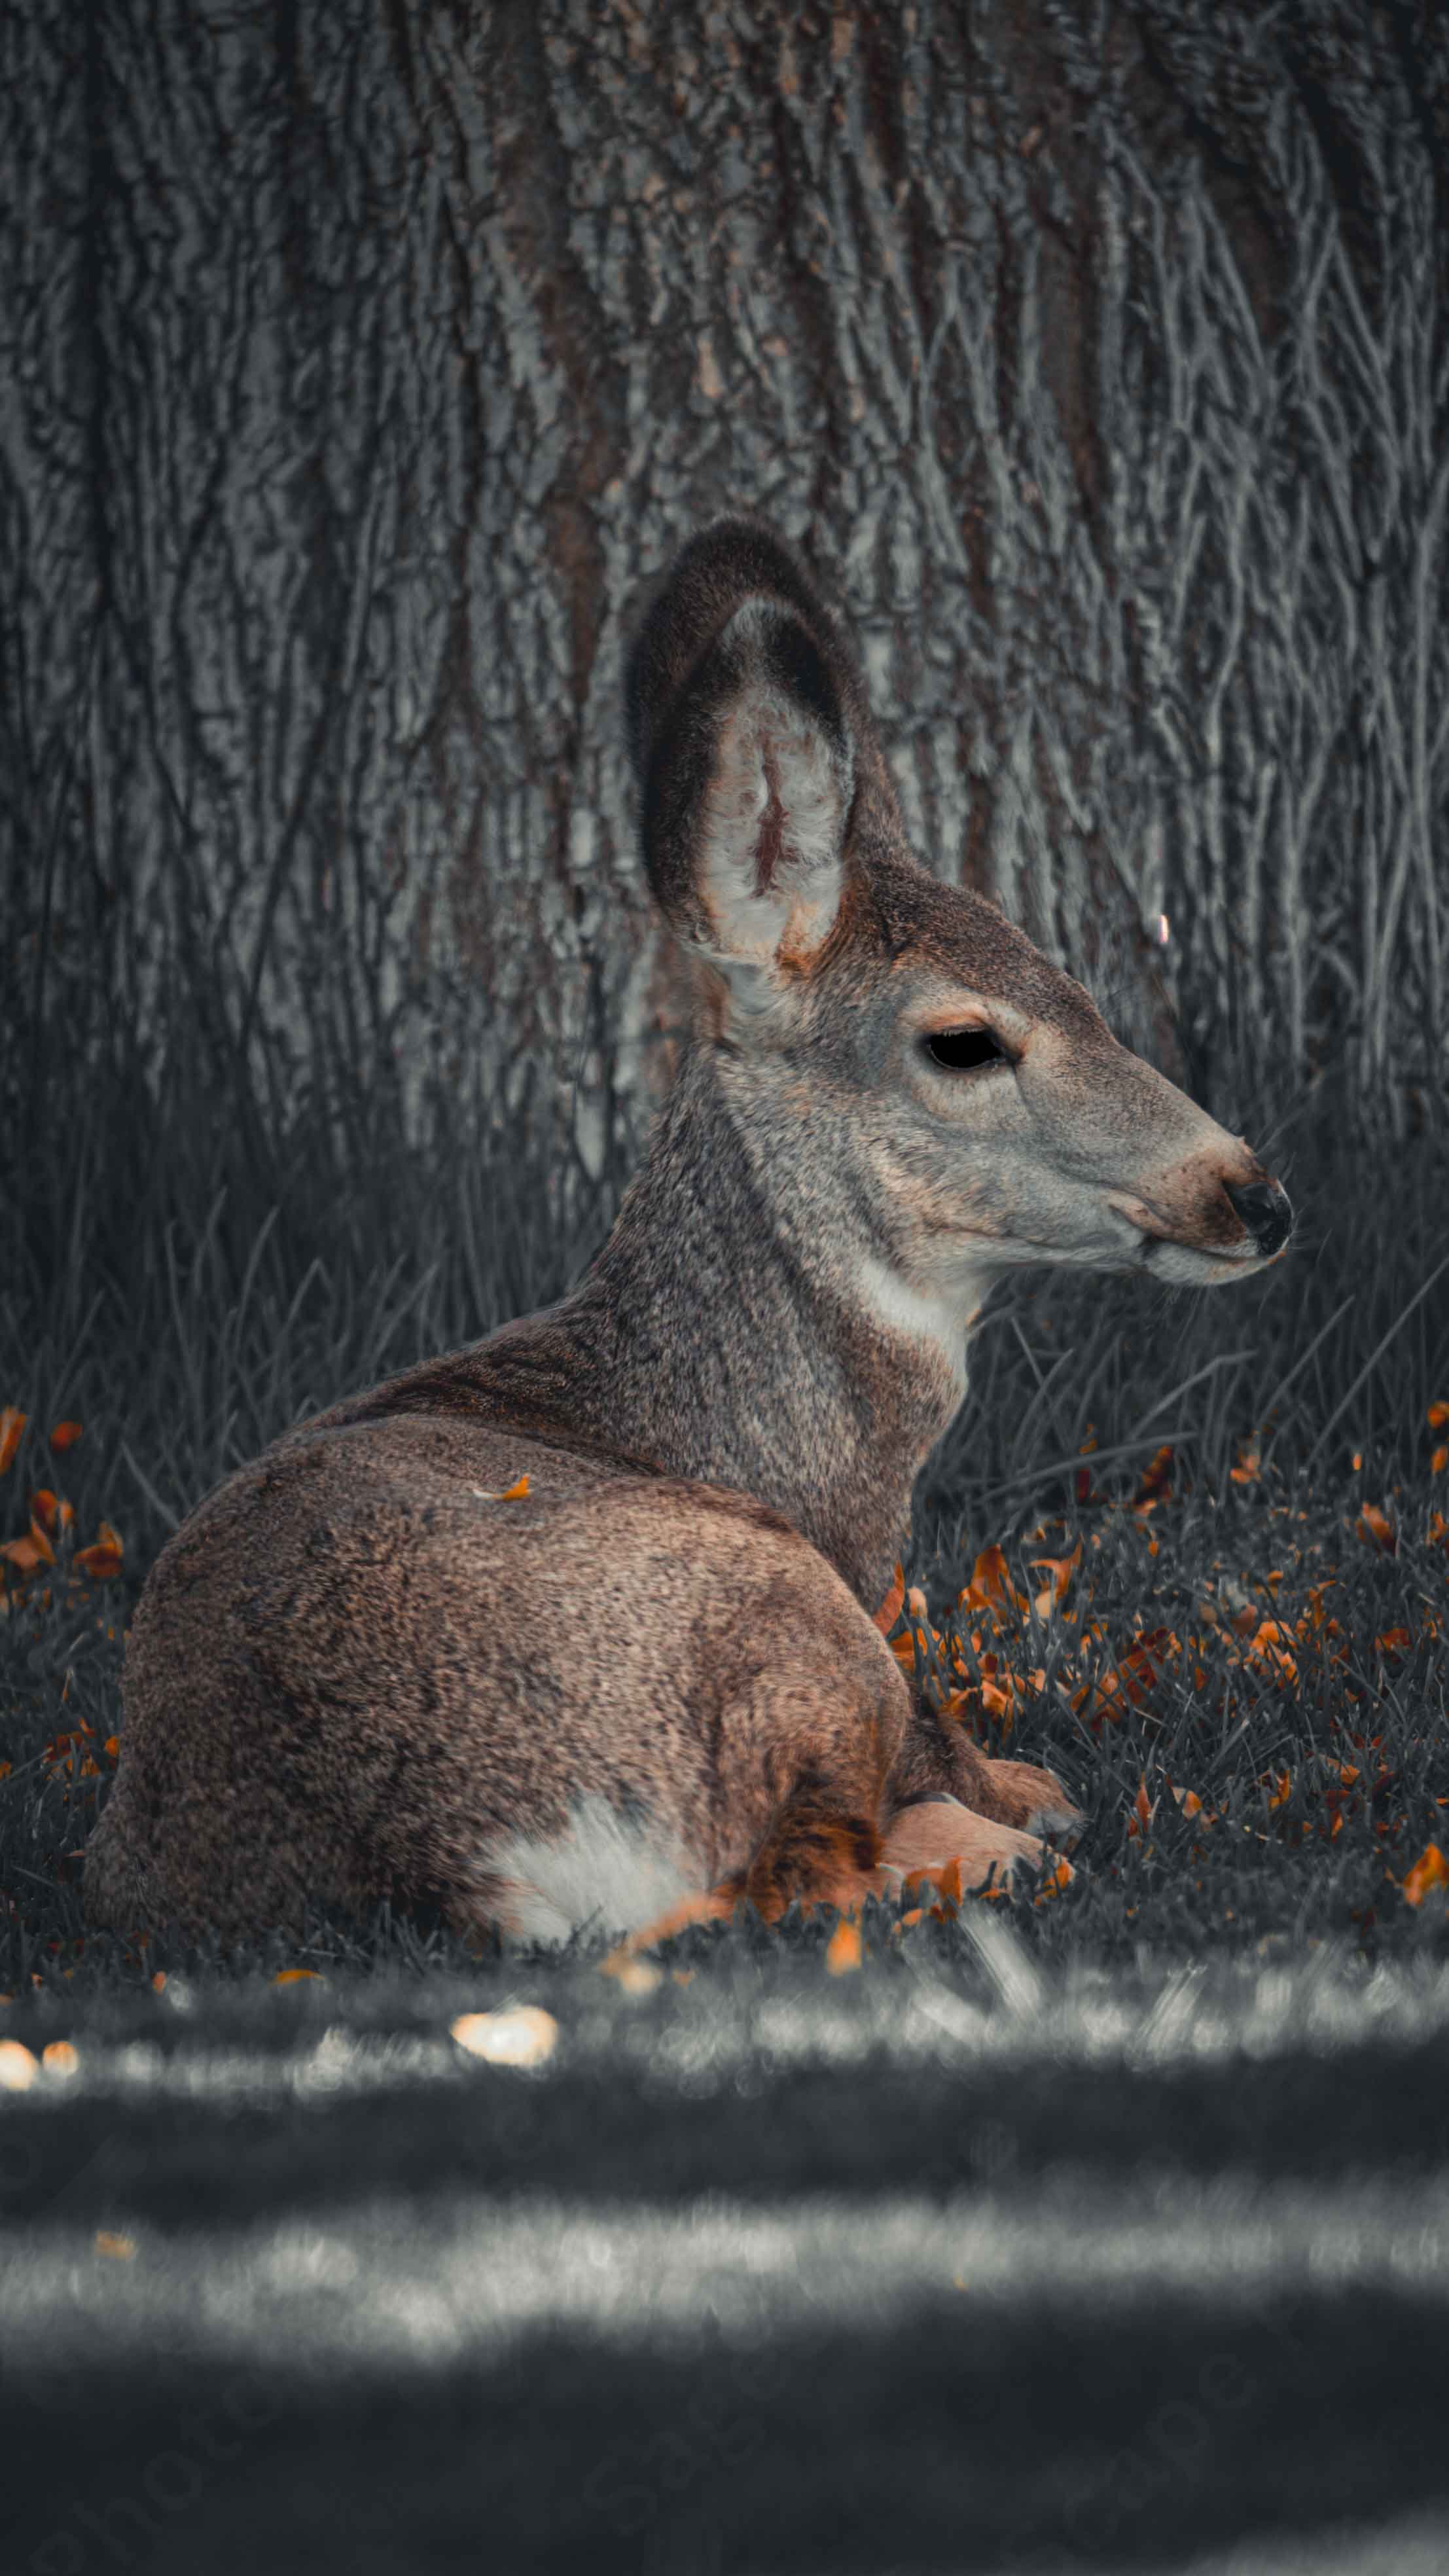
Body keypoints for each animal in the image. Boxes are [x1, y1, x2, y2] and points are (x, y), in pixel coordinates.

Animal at [84, 517, 1293, 1954]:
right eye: (964, 1040)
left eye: (1085, 992)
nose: (1251, 1194)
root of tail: (477, 1866)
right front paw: (1030, 1788)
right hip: (783, 1619)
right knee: (818, 1875)